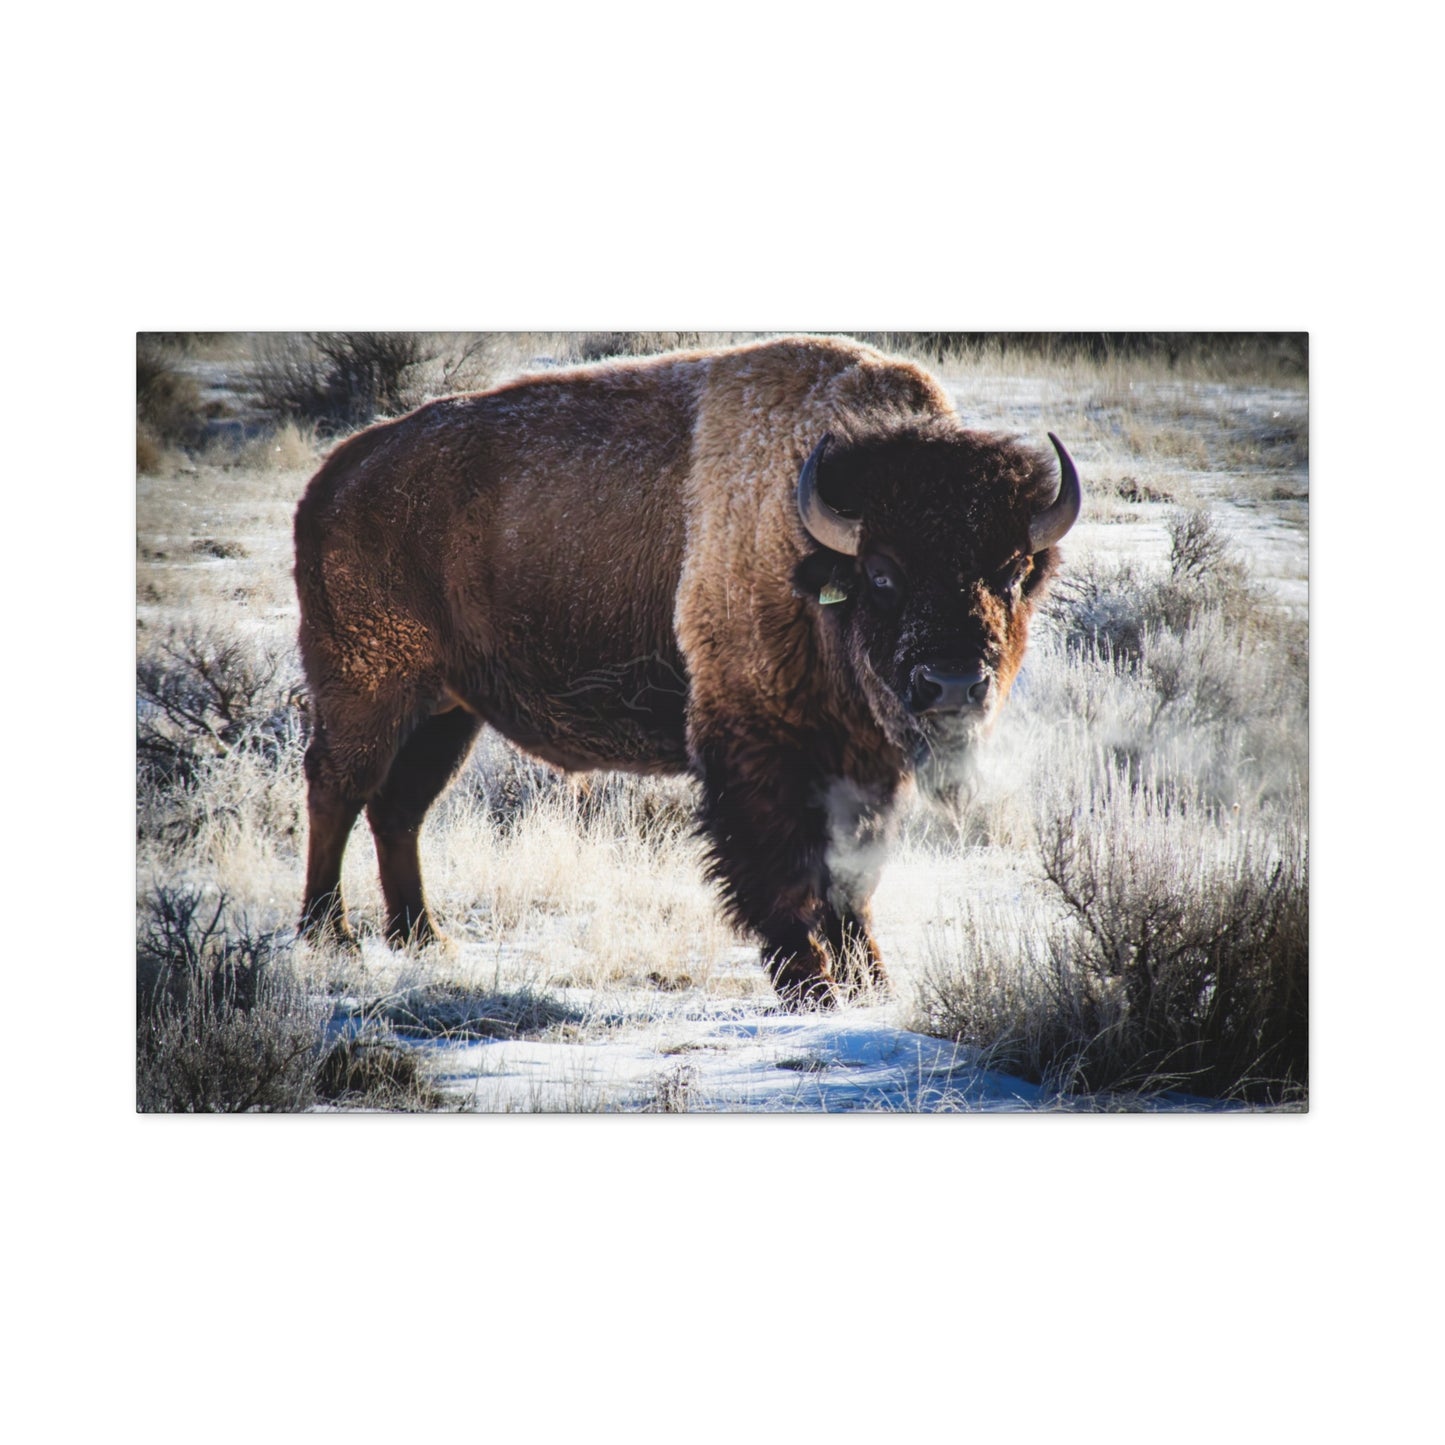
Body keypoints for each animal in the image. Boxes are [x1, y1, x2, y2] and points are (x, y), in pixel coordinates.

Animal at [293, 336, 1080, 1005]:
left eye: (1012, 571)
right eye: (882, 574)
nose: (951, 684)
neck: (808, 545)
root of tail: (334, 476)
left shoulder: (865, 763)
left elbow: (852, 877)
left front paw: (872, 985)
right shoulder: (758, 747)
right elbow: (784, 872)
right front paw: (813, 988)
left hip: (447, 712)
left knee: (399, 809)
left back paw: (424, 939)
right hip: (367, 687)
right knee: (338, 790)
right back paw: (330, 936)